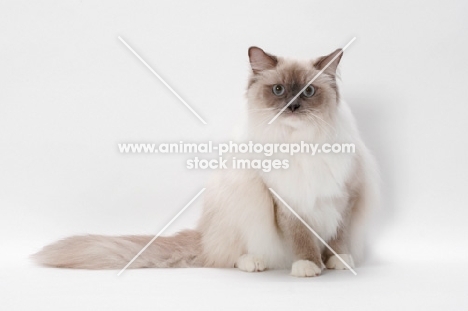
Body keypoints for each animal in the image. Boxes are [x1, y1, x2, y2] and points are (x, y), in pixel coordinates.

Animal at [33, 45, 378, 278]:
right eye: (279, 90)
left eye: (307, 92)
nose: (292, 106)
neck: (300, 142)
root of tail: (202, 234)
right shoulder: (286, 200)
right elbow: (302, 238)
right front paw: (308, 265)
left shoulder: (345, 194)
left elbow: (338, 236)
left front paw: (337, 262)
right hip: (242, 193)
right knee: (225, 256)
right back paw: (253, 262)